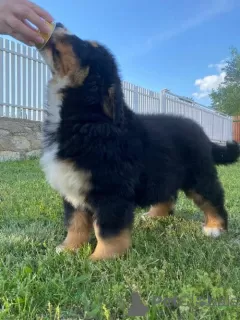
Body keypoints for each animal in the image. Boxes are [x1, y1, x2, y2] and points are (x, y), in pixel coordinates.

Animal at [38, 24, 239, 260]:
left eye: (85, 45)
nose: (59, 24)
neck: (87, 118)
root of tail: (203, 133)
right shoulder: (73, 186)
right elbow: (75, 222)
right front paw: (69, 248)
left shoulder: (111, 190)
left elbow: (108, 229)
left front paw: (102, 258)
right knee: (167, 194)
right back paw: (155, 215)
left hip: (199, 175)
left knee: (212, 198)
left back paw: (216, 227)